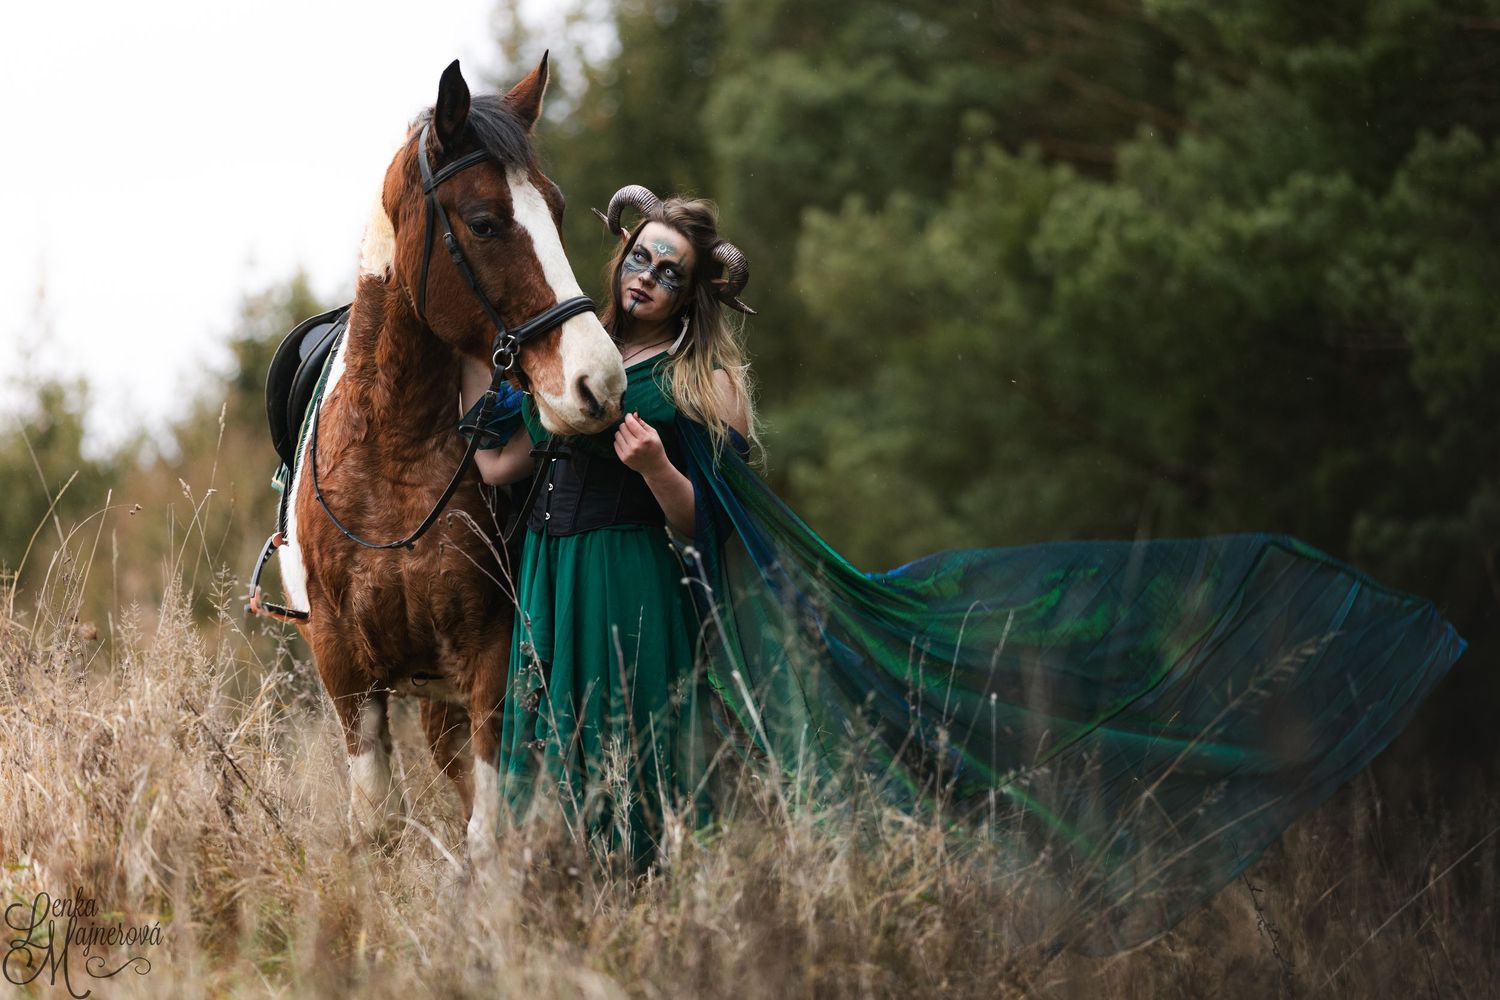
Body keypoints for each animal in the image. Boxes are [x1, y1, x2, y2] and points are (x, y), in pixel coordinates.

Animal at [275, 57, 626, 858]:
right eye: (485, 222)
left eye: (557, 211)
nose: (599, 381)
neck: (393, 455)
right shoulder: (344, 667)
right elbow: (375, 820)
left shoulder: (491, 658)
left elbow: (488, 828)